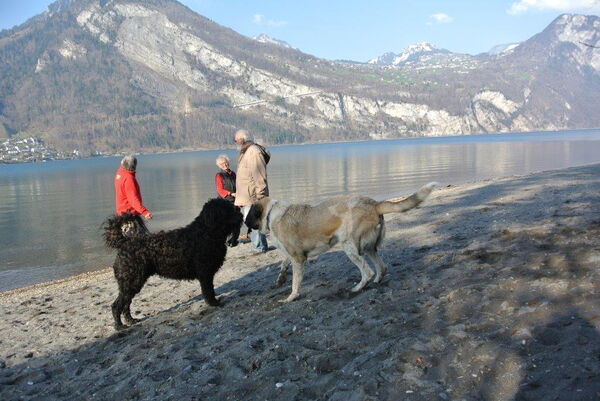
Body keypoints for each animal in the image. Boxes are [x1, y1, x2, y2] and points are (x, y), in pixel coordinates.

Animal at [103, 198, 243, 330]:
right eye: (228, 210)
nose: (241, 216)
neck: (206, 232)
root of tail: (125, 243)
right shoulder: (205, 274)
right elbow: (209, 292)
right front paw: (214, 303)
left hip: (131, 283)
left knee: (125, 304)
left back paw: (131, 320)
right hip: (131, 282)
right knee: (116, 305)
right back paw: (119, 326)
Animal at [244, 182, 437, 302]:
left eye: (249, 215)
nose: (245, 224)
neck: (271, 213)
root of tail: (374, 203)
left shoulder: (298, 259)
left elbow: (295, 283)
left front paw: (291, 297)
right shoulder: (293, 255)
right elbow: (284, 264)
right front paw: (281, 278)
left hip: (350, 247)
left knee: (367, 271)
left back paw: (357, 289)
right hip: (369, 248)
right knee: (381, 267)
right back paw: (376, 281)